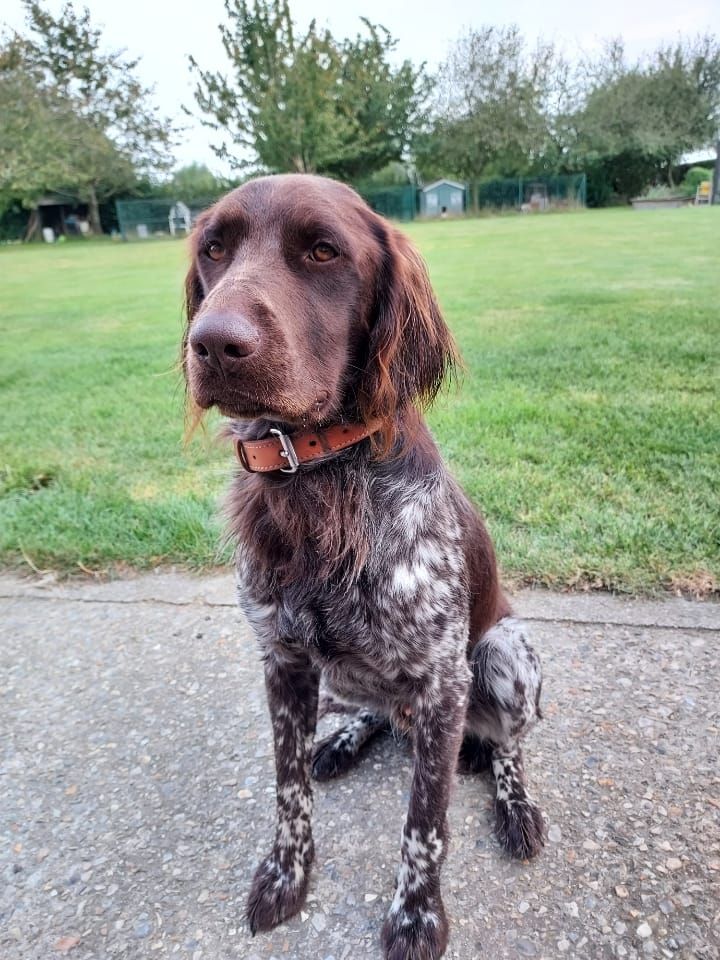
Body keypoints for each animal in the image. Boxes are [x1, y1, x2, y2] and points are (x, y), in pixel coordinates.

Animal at [181, 174, 544, 960]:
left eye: (323, 251)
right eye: (214, 250)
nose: (214, 342)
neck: (317, 474)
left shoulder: (443, 681)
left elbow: (425, 826)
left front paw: (417, 918)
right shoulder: (283, 661)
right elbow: (288, 791)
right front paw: (284, 878)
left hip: (506, 653)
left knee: (507, 746)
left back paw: (517, 804)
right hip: (341, 679)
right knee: (373, 711)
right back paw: (344, 739)